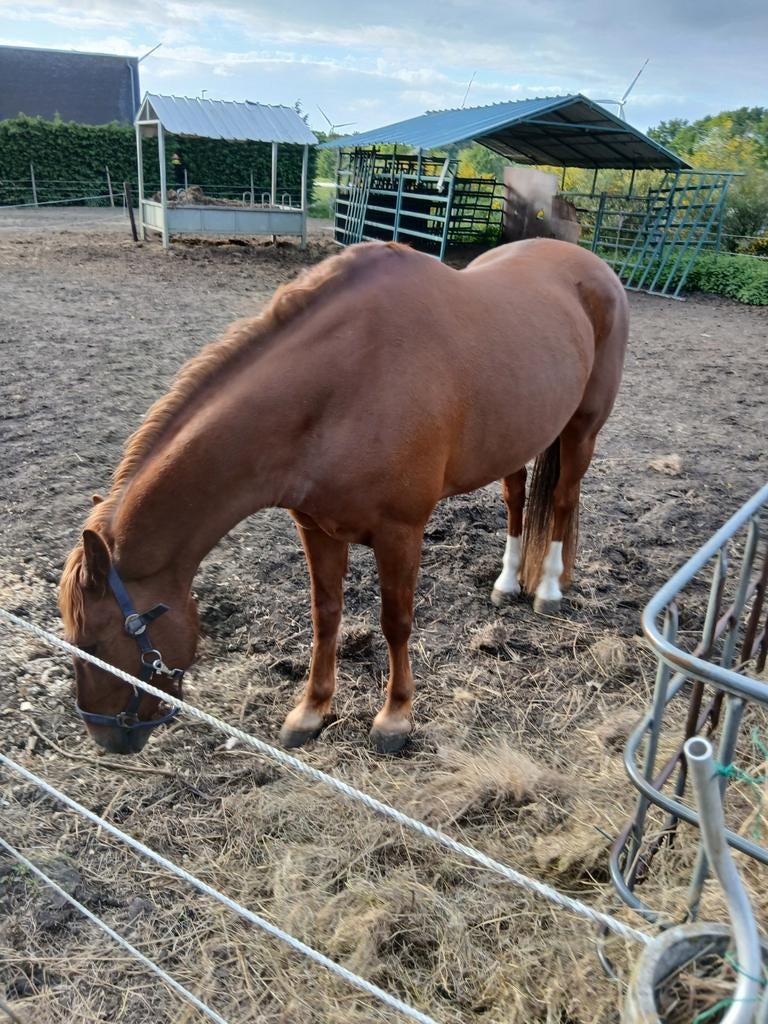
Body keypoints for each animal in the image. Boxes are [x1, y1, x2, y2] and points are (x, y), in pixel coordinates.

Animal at [59, 237, 628, 756]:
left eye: (92, 644)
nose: (103, 737)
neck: (344, 384)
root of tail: (588, 263)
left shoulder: (401, 532)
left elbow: (395, 622)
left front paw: (395, 718)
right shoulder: (316, 527)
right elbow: (325, 616)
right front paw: (311, 711)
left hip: (581, 430)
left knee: (562, 501)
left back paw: (548, 588)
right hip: (517, 437)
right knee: (516, 498)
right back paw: (508, 582)